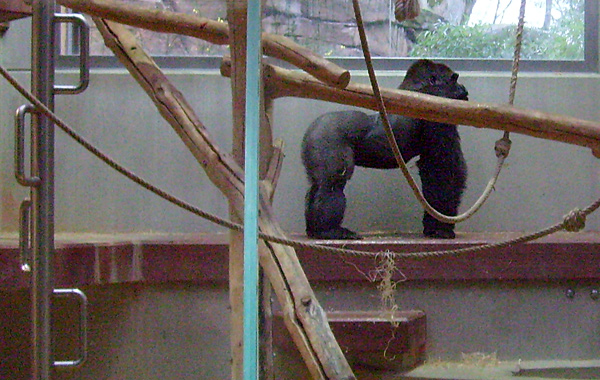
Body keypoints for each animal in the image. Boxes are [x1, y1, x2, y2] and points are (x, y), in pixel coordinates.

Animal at [300, 59, 468, 239]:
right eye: (454, 79)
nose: (463, 89)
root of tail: (314, 127)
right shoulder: (437, 105)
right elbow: (442, 170)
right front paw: (440, 227)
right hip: (327, 136)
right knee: (332, 183)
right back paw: (328, 230)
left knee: (318, 184)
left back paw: (314, 229)